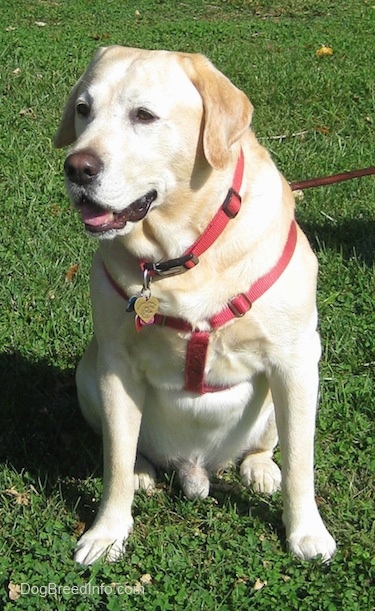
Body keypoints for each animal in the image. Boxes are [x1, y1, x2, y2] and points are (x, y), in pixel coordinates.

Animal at [54, 45, 336, 568]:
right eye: (83, 109)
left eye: (144, 115)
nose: (77, 167)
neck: (183, 253)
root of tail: (197, 468)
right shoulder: (116, 365)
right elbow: (115, 461)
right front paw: (107, 531)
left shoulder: (296, 359)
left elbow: (301, 462)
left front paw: (307, 531)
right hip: (88, 375)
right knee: (126, 448)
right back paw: (145, 471)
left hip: (285, 394)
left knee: (272, 446)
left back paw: (261, 470)